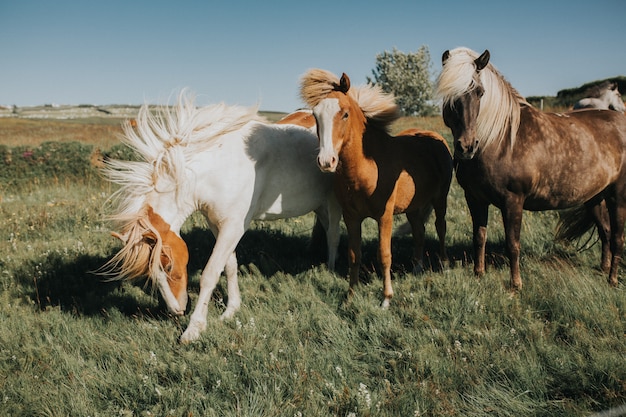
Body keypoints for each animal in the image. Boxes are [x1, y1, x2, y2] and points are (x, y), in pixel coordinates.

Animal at [101, 92, 342, 342]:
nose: (177, 310)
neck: (219, 167)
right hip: (319, 205)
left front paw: (194, 328)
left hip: (333, 201)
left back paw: (330, 271)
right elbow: (230, 266)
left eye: (167, 266)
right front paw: (231, 310)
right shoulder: (219, 226)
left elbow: (210, 273)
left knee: (334, 234)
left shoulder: (234, 227)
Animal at [300, 69, 450, 306]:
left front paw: (386, 299)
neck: (367, 168)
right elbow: (354, 255)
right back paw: (417, 268)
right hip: (413, 208)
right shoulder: (351, 217)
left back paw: (444, 266)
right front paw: (350, 296)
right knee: (419, 232)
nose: (326, 161)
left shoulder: (384, 216)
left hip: (440, 199)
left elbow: (384, 255)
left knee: (440, 227)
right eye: (315, 116)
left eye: (345, 114)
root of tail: (435, 139)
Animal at [436, 47, 626, 288]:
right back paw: (603, 270)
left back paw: (612, 279)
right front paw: (479, 275)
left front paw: (516, 285)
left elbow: (512, 244)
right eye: (449, 95)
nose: (467, 146)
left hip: (618, 196)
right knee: (606, 232)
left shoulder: (513, 201)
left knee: (618, 237)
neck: (499, 140)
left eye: (479, 92)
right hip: (595, 197)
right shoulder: (474, 198)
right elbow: (479, 237)